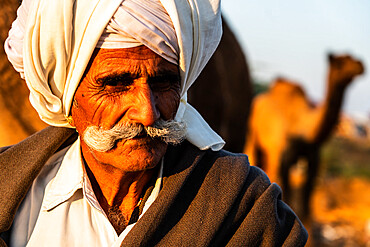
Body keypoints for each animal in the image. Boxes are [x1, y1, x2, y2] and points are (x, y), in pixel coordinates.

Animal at [246, 53, 364, 219]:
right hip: (254, 137)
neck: (303, 127)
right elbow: (287, 192)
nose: (361, 65)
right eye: (340, 63)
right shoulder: (285, 155)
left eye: (353, 57)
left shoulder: (312, 156)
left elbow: (307, 198)